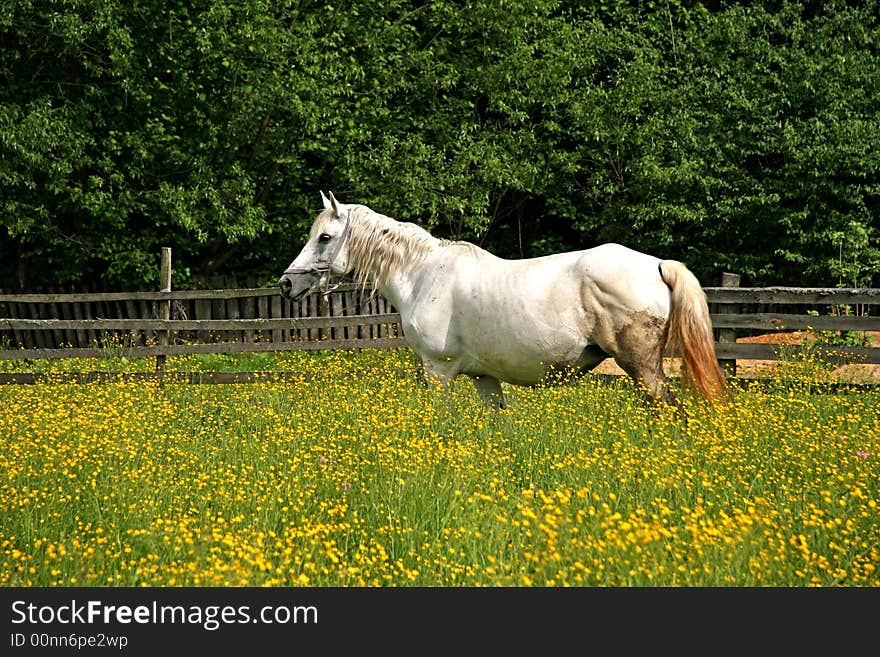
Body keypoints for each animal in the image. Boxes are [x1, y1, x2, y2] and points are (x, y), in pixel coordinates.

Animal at [278, 188, 724, 410]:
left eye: (325, 237)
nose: (286, 284)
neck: (422, 274)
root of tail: (657, 265)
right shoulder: (485, 379)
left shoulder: (437, 372)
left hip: (643, 369)